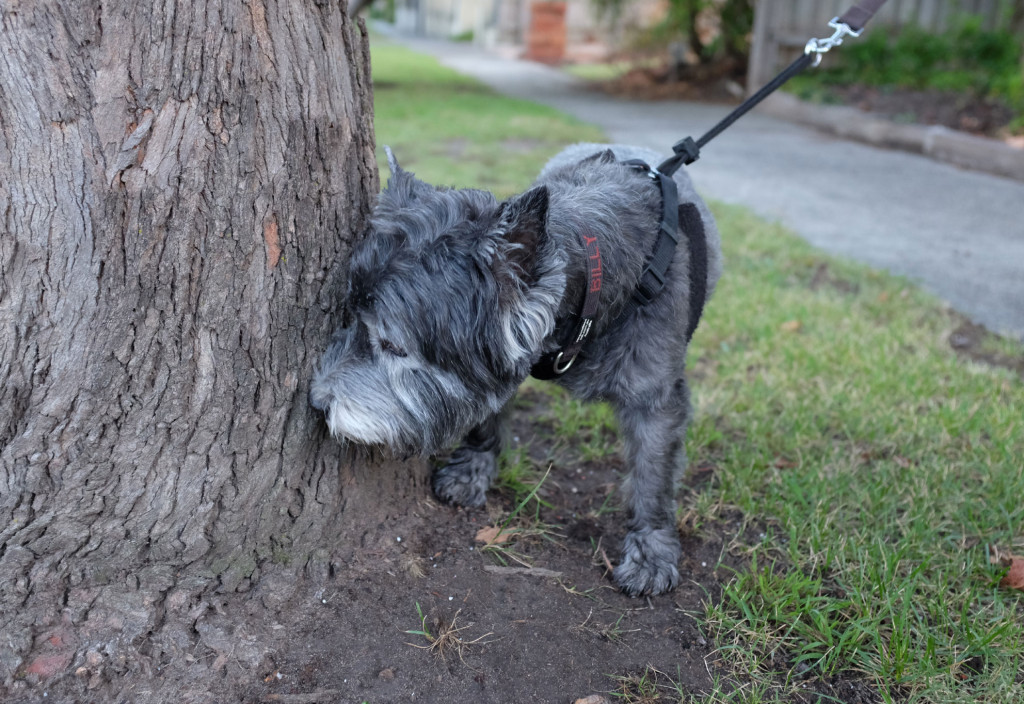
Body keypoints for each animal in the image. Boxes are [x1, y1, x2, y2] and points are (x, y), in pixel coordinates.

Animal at [309, 143, 720, 593]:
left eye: (392, 345)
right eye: (350, 318)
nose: (317, 402)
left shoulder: (657, 401)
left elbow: (653, 476)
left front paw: (651, 551)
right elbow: (487, 412)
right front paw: (472, 470)